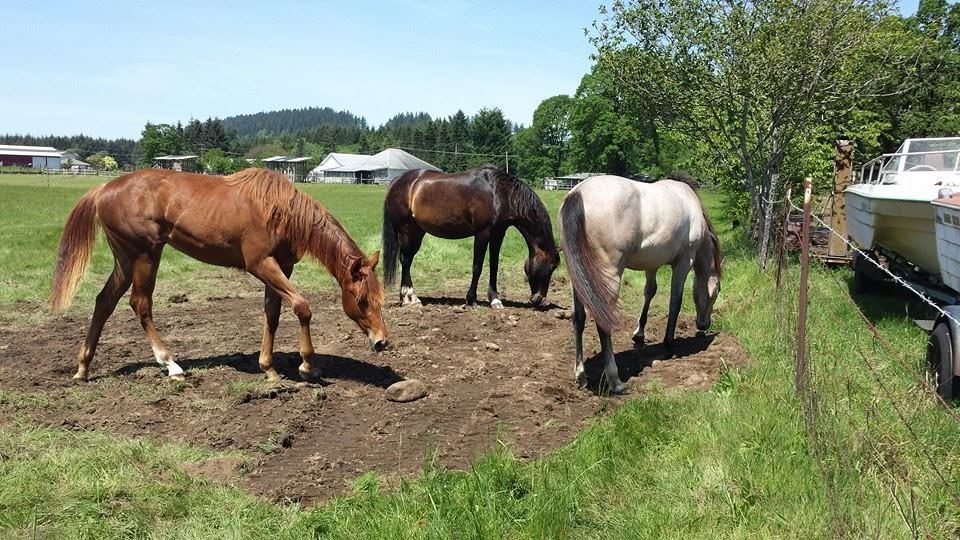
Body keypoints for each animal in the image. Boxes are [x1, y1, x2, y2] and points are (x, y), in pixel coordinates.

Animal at [51, 168, 388, 383]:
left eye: (380, 299)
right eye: (361, 299)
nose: (382, 341)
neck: (280, 211)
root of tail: (103, 189)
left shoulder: (281, 267)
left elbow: (272, 314)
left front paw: (268, 368)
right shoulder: (261, 265)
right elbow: (302, 307)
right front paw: (307, 365)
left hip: (125, 258)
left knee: (104, 302)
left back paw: (83, 368)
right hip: (146, 256)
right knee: (140, 304)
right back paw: (170, 364)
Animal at [381, 165, 560, 308]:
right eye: (551, 267)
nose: (538, 299)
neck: (499, 193)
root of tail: (397, 181)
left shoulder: (498, 233)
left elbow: (494, 266)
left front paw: (495, 299)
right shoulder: (482, 233)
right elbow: (477, 267)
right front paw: (471, 299)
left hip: (417, 231)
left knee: (407, 260)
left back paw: (405, 298)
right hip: (406, 230)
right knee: (405, 261)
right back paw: (411, 298)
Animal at [558, 175, 722, 393]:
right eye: (716, 292)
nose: (703, 325)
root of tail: (579, 193)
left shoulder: (651, 264)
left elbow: (650, 292)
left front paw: (639, 334)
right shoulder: (684, 262)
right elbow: (675, 301)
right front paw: (669, 344)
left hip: (578, 277)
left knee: (578, 319)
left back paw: (581, 375)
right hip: (609, 276)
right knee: (603, 322)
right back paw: (615, 381)